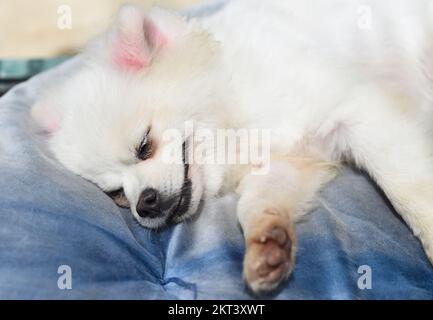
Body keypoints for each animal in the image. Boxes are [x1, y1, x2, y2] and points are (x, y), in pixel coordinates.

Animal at [32, 0, 432, 296]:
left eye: (144, 146)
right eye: (116, 194)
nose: (143, 205)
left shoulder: (355, 110)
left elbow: (408, 189)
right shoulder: (284, 164)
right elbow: (255, 203)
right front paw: (268, 244)